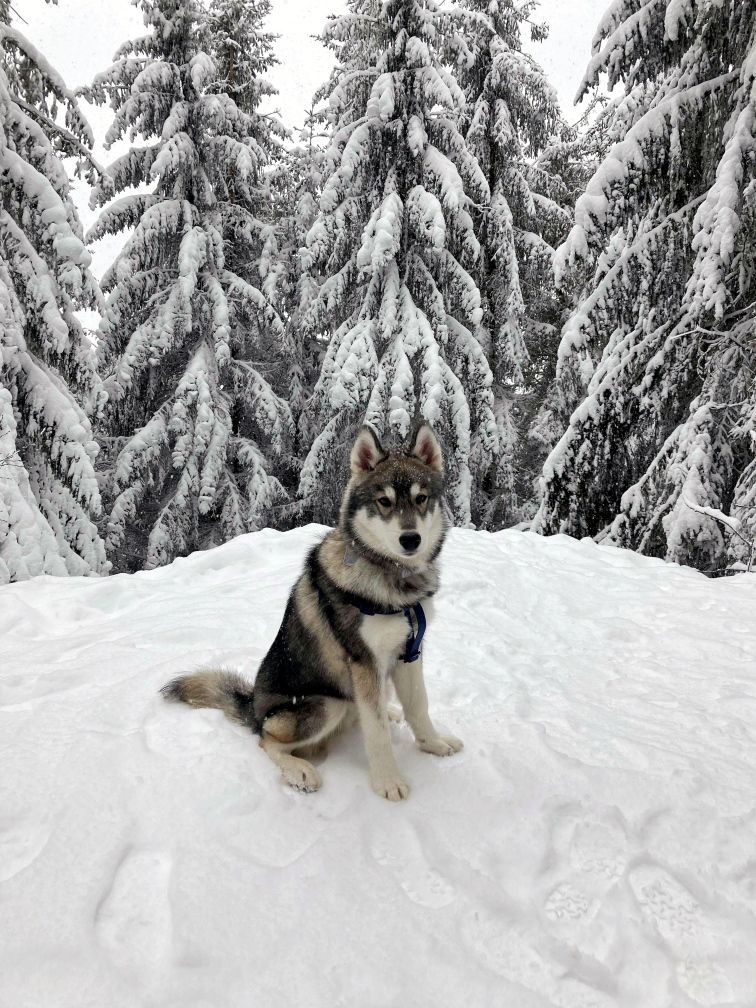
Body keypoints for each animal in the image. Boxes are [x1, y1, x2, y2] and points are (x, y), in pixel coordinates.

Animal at [163, 421, 465, 798]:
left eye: (421, 498)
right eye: (384, 502)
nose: (410, 539)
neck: (395, 580)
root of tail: (253, 707)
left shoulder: (409, 652)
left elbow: (419, 706)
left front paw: (434, 744)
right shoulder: (364, 662)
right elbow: (377, 732)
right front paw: (387, 781)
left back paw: (391, 712)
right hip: (324, 704)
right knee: (266, 741)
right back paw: (299, 771)